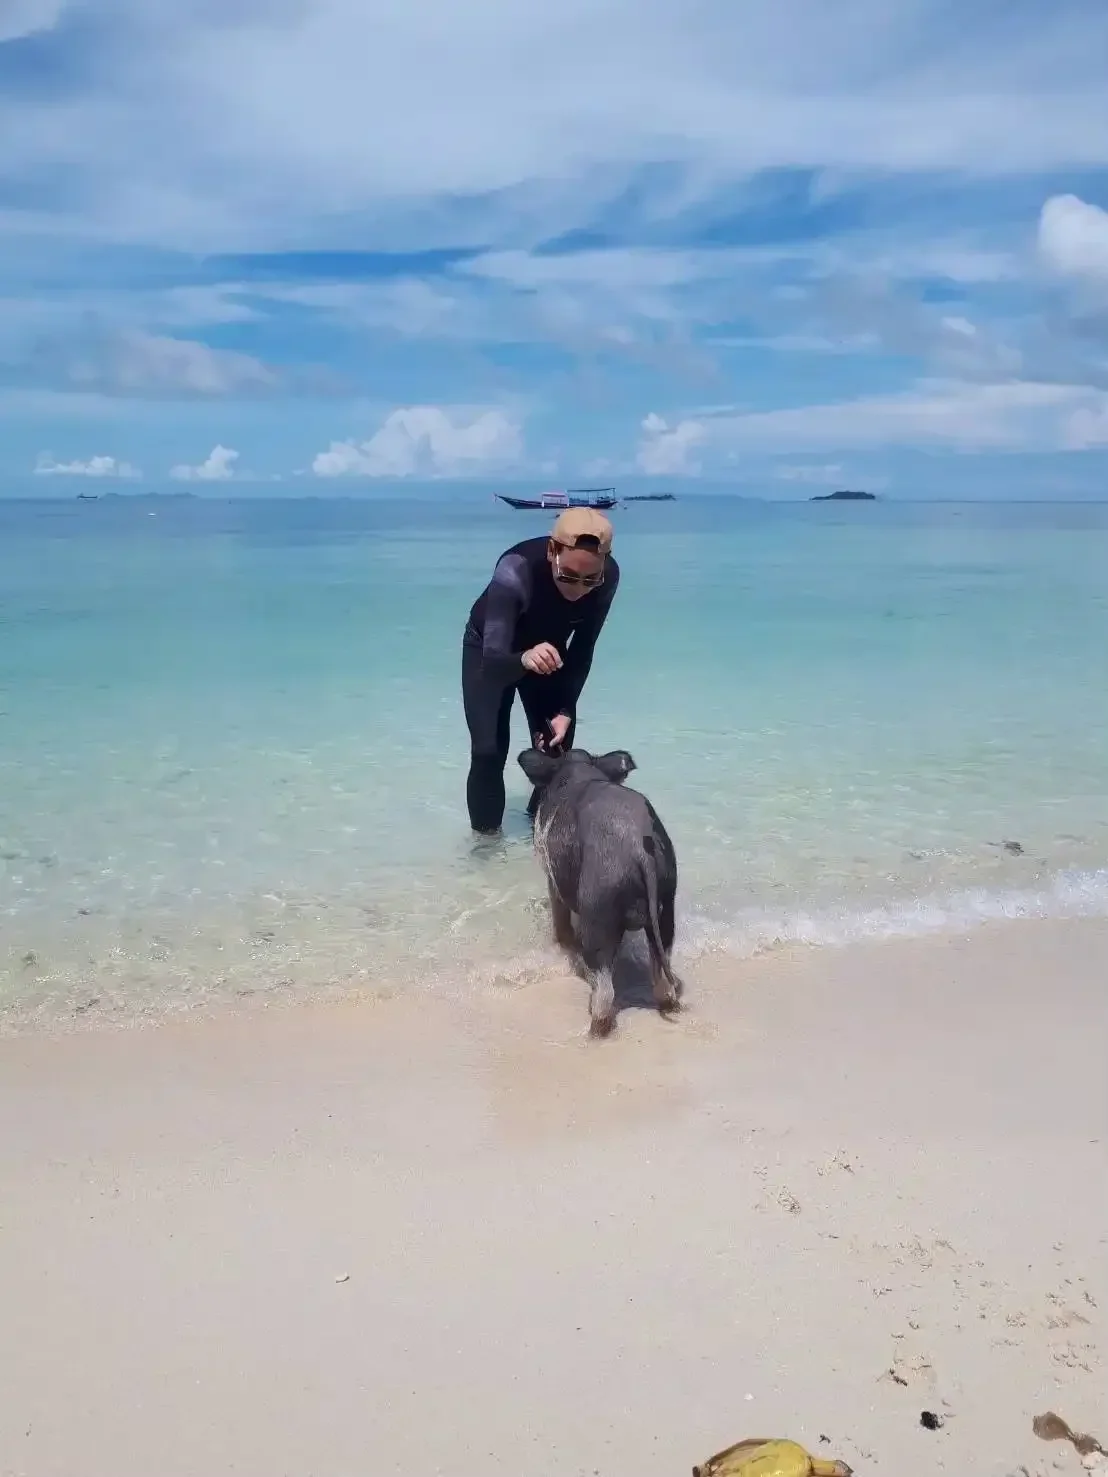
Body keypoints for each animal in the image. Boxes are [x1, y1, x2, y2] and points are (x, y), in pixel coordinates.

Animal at [517, 745, 684, 1037]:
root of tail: (639, 849)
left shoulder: (551, 874)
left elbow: (560, 919)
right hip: (666, 906)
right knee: (663, 978)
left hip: (598, 912)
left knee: (605, 993)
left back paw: (593, 1032)